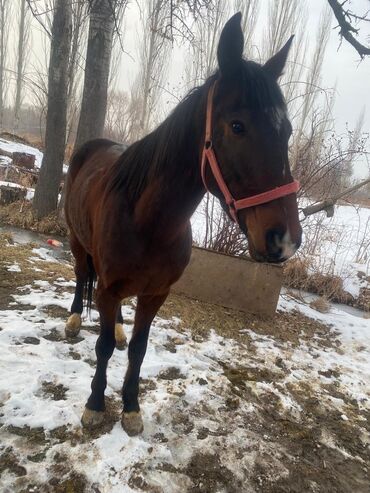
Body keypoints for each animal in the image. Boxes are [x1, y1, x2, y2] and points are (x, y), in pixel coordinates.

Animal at [64, 12, 300, 434]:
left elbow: (138, 349)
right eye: (237, 126)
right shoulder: (110, 286)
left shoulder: (156, 294)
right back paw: (74, 320)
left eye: (286, 131)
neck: (148, 222)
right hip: (78, 243)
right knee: (80, 276)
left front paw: (131, 407)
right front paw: (95, 404)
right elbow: (102, 347)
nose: (285, 239)